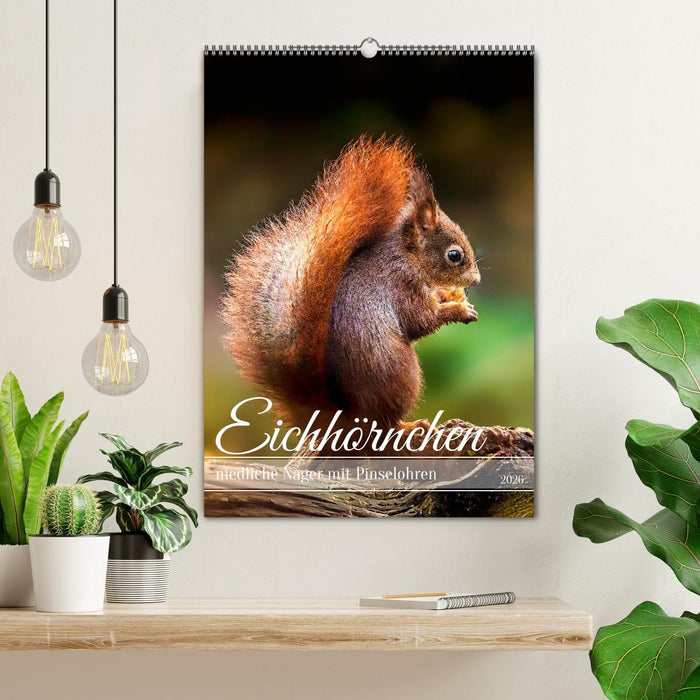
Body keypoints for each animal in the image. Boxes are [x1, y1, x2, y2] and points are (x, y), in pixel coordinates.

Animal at [220, 136, 481, 432]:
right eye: (454, 255)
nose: (476, 279)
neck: (407, 255)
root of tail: (346, 416)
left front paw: (449, 296)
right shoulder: (401, 284)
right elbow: (420, 320)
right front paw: (458, 310)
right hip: (403, 373)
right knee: (383, 424)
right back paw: (409, 425)